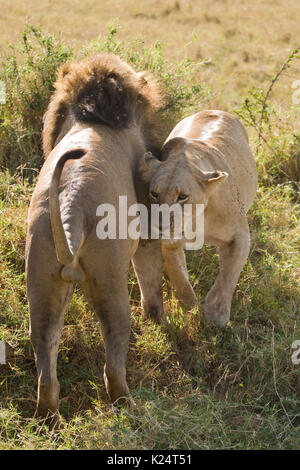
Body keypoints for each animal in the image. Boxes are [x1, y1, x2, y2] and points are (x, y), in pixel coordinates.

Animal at [26, 53, 164, 424]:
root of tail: (70, 207)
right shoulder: (147, 224)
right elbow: (150, 277)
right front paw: (157, 319)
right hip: (109, 278)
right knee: (113, 363)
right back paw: (129, 408)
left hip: (40, 278)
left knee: (45, 362)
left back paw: (49, 421)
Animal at [142, 110, 256, 328]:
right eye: (154, 194)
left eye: (182, 196)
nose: (160, 226)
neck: (195, 221)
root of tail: (214, 110)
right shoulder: (170, 243)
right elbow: (179, 276)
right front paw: (191, 307)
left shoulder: (240, 235)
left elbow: (229, 275)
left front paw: (215, 314)